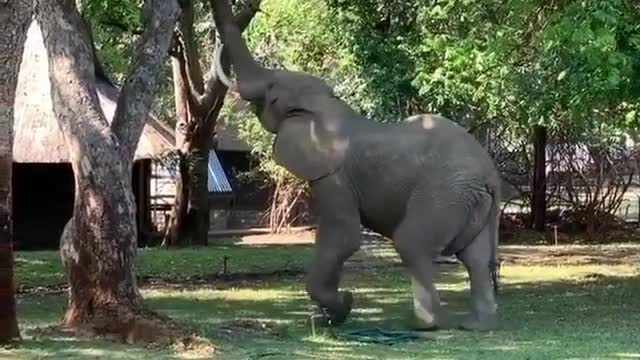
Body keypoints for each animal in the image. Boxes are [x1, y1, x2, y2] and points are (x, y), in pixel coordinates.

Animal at [212, 0, 502, 332]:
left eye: (272, 96)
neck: (326, 108)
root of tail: (491, 176)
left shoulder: (334, 175)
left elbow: (343, 236)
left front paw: (341, 307)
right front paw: (329, 316)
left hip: (446, 193)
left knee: (412, 243)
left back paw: (425, 325)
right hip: (471, 201)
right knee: (476, 257)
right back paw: (477, 325)